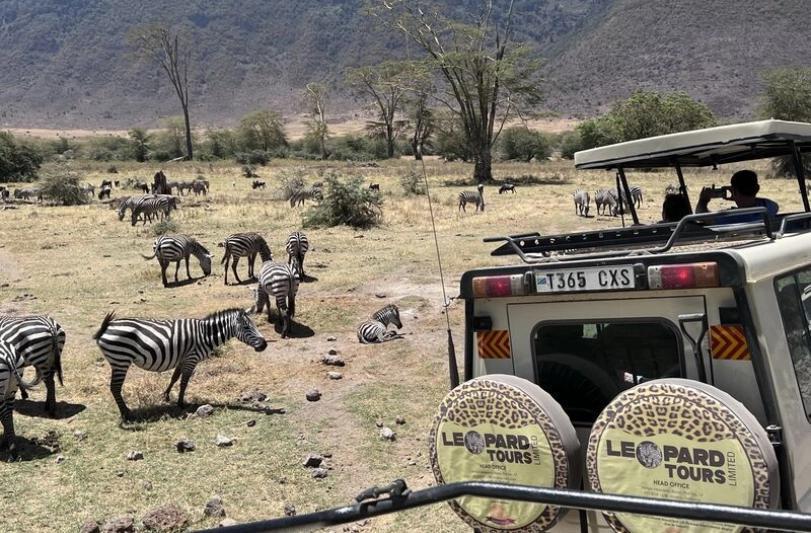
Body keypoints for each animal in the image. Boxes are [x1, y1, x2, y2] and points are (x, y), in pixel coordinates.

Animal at [93, 308, 268, 420]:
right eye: (246, 327)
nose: (264, 345)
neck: (205, 335)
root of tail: (106, 327)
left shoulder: (182, 358)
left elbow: (174, 378)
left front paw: (166, 395)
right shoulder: (192, 358)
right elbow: (184, 382)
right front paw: (181, 403)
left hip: (118, 361)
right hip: (120, 360)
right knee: (115, 388)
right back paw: (126, 413)